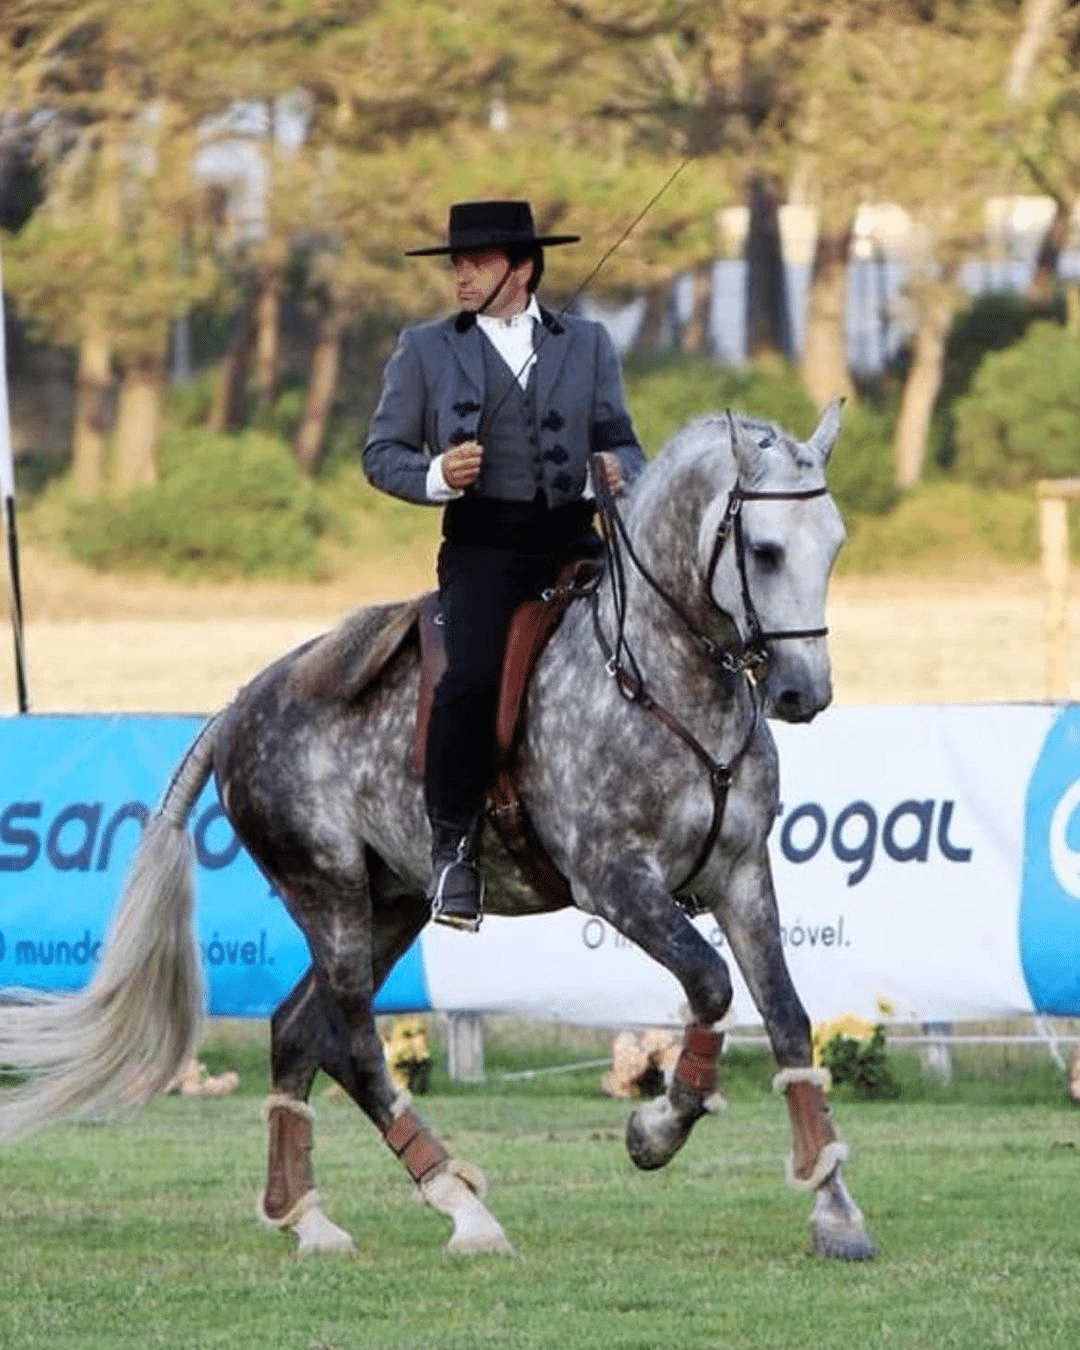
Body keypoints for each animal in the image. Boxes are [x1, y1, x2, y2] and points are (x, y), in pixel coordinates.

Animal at [0, 399, 874, 1263]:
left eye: (833, 544)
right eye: (764, 551)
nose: (803, 693)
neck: (662, 679)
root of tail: (241, 704)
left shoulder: (741, 873)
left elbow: (788, 1021)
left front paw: (833, 1207)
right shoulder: (617, 881)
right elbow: (710, 984)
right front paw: (655, 1130)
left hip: (391, 904)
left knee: (297, 1031)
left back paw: (308, 1217)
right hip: (328, 894)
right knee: (353, 1044)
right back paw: (462, 1207)